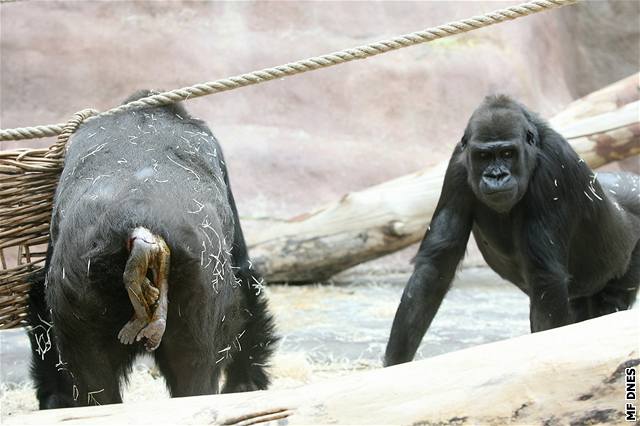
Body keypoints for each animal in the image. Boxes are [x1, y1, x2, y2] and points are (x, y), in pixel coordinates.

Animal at [28, 91, 278, 408]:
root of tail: (140, 237)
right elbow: (246, 277)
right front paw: (246, 381)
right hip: (197, 282)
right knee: (195, 373)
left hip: (79, 281)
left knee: (95, 382)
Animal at [384, 94, 640, 366]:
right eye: (484, 156)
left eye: (507, 153)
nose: (496, 175)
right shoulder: (458, 165)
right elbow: (436, 266)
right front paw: (394, 365)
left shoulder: (553, 167)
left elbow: (545, 278)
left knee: (611, 302)